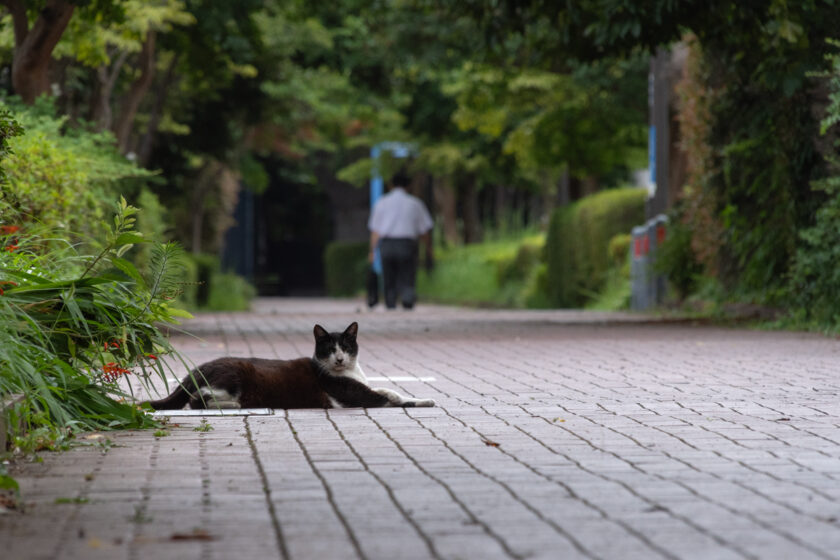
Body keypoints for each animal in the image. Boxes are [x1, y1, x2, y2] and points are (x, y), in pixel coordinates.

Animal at [145, 322, 436, 410]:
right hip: (234, 376)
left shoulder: (364, 385)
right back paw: (233, 405)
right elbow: (389, 398)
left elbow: (390, 391)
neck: (349, 371)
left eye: (346, 347)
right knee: (197, 400)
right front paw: (421, 401)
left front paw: (419, 398)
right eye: (329, 349)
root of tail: (198, 367)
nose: (339, 359)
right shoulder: (353, 395)